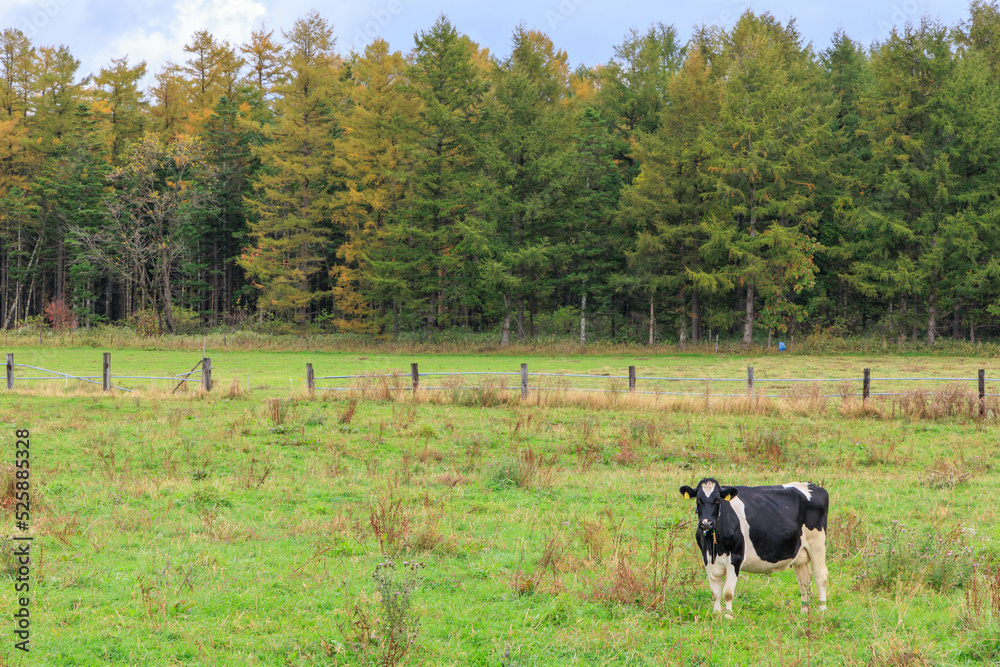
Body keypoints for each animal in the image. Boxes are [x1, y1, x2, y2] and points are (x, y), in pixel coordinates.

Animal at [680, 478, 828, 620]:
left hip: (817, 544)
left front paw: (728, 616)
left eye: (717, 499)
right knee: (804, 580)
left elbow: (728, 592)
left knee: (820, 576)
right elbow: (715, 592)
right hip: (799, 553)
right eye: (698, 499)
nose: (706, 523)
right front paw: (716, 614)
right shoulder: (707, 559)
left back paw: (822, 610)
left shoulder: (735, 558)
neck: (714, 547)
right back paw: (804, 611)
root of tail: (813, 485)